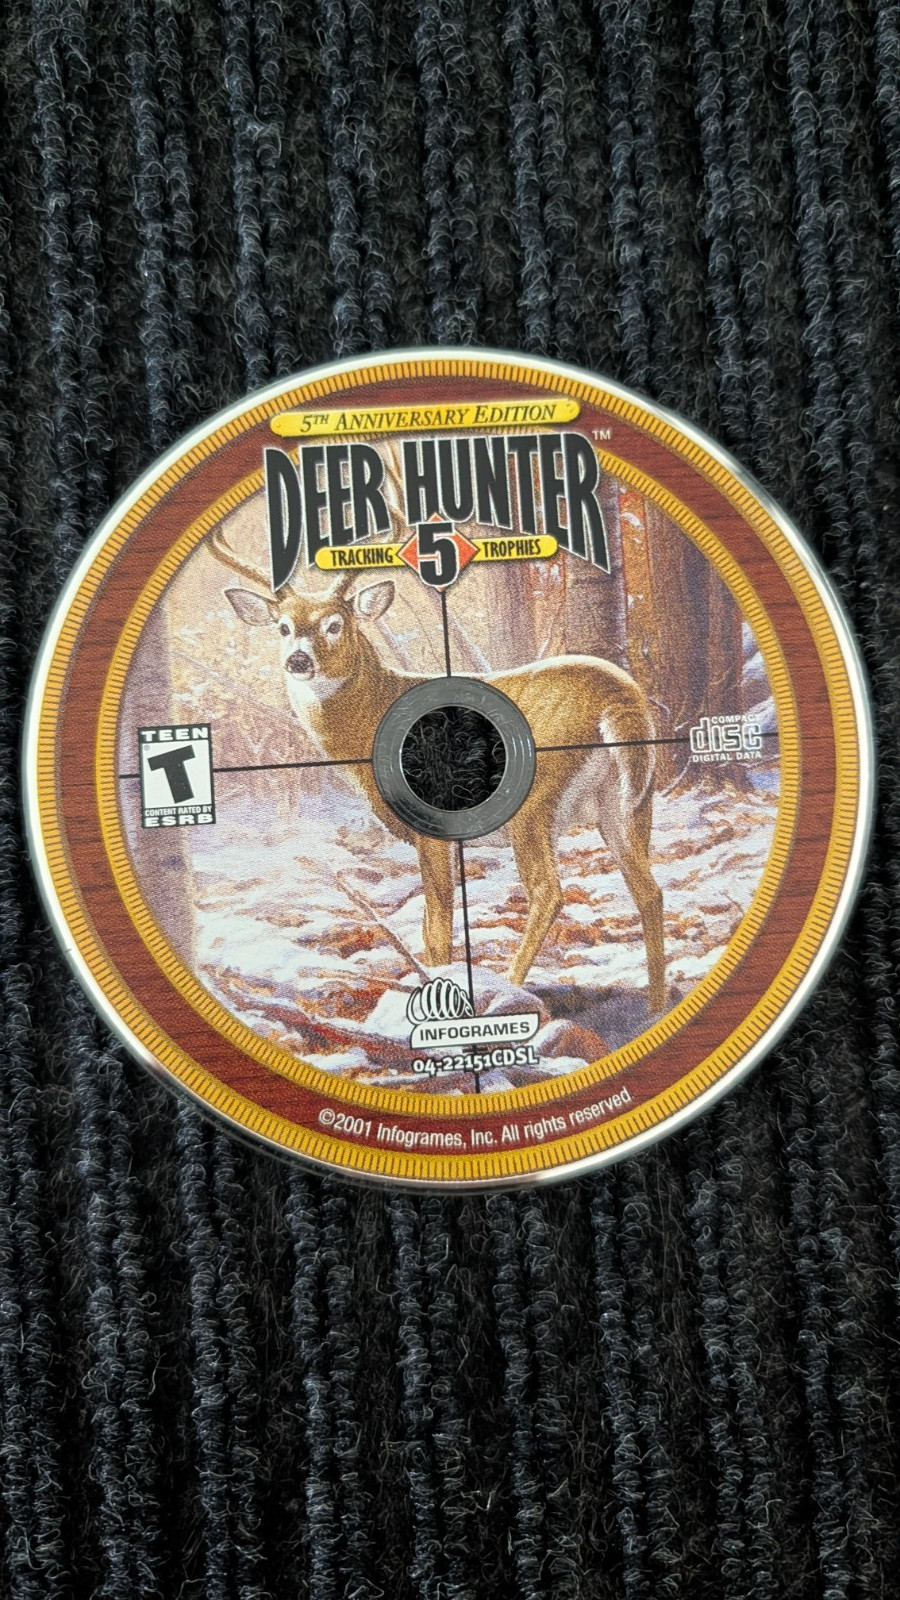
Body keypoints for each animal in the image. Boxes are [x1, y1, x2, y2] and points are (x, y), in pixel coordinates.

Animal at [207, 526, 666, 1014]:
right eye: (283, 627)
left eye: (335, 624)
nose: (297, 660)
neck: (371, 720)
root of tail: (619, 698)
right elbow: (431, 926)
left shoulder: (433, 828)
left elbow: (439, 927)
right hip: (630, 803)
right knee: (649, 892)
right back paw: (656, 1006)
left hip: (534, 802)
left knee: (548, 891)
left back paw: (510, 987)